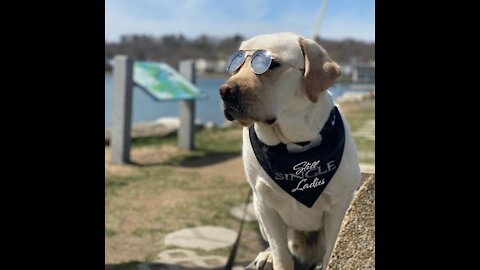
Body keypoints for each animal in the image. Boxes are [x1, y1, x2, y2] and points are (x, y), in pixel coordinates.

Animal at [218, 32, 360, 268]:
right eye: (235, 66)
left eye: (270, 64)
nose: (225, 91)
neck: (292, 143)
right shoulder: (265, 205)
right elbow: (281, 254)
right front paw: (273, 257)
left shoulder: (339, 206)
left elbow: (331, 253)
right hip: (259, 215)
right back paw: (265, 255)